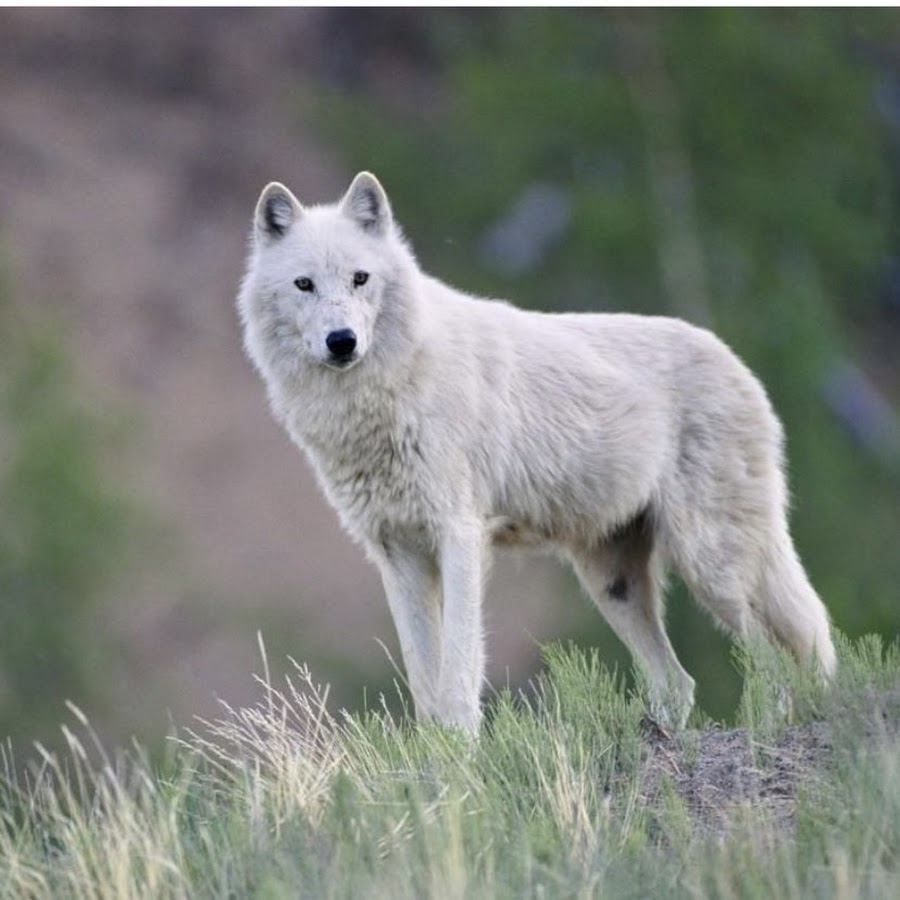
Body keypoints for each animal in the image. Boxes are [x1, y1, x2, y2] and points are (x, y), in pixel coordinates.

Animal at [237, 172, 836, 736]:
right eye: (305, 285)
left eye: (360, 279)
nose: (342, 341)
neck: (381, 396)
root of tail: (737, 362)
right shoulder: (396, 551)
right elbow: (423, 678)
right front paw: (434, 753)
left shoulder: (459, 535)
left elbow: (458, 670)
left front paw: (462, 749)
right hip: (613, 584)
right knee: (681, 681)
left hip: (711, 567)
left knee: (785, 651)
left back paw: (772, 727)